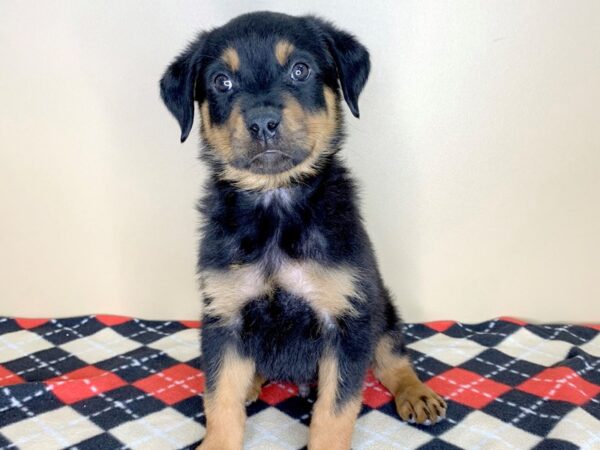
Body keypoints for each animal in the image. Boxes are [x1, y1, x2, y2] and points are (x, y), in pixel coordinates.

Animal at [159, 10, 446, 450]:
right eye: (221, 81)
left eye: (300, 69)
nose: (262, 122)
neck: (276, 206)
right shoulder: (225, 320)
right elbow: (220, 399)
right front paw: (219, 438)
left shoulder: (347, 321)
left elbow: (335, 411)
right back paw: (252, 383)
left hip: (381, 308)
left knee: (392, 357)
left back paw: (416, 393)